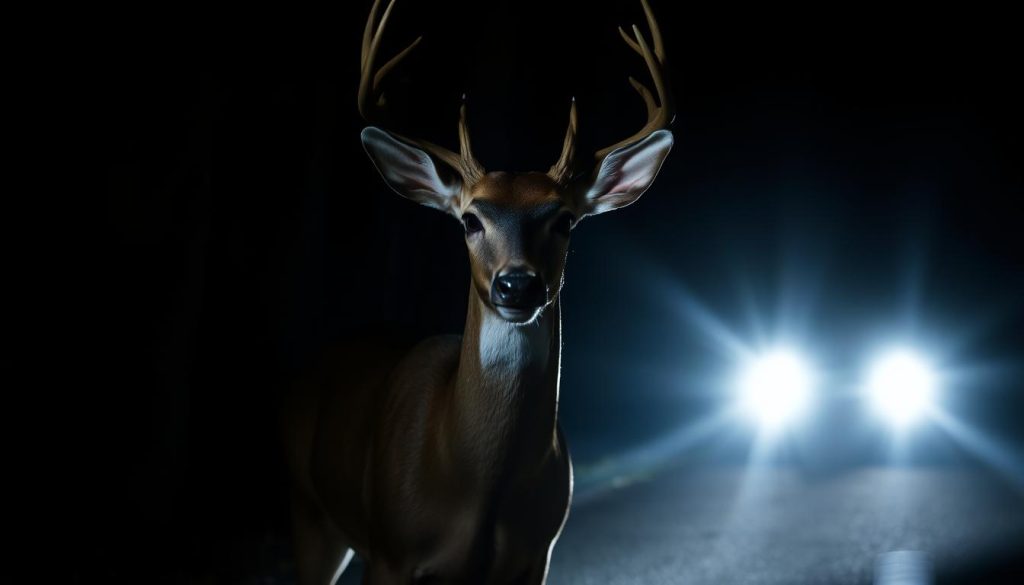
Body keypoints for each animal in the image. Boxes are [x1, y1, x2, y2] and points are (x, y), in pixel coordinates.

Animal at [281, 0, 674, 583]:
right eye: (470, 219)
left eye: (565, 221)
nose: (517, 284)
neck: (473, 485)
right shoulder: (391, 553)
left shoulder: (536, 555)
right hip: (309, 512)